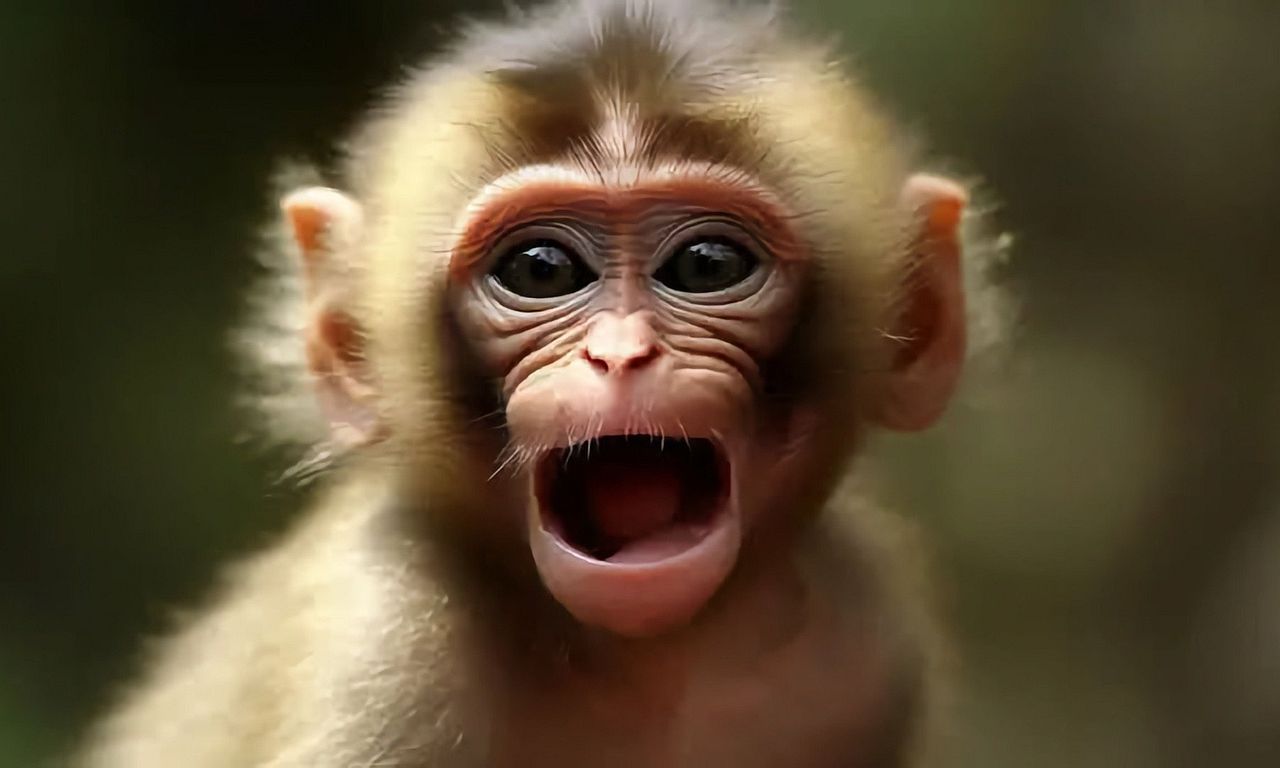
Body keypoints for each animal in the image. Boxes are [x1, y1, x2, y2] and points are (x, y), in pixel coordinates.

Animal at [73, 1, 1009, 766]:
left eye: (708, 265)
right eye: (540, 269)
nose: (621, 355)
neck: (642, 660)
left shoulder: (868, 640)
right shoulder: (384, 654)